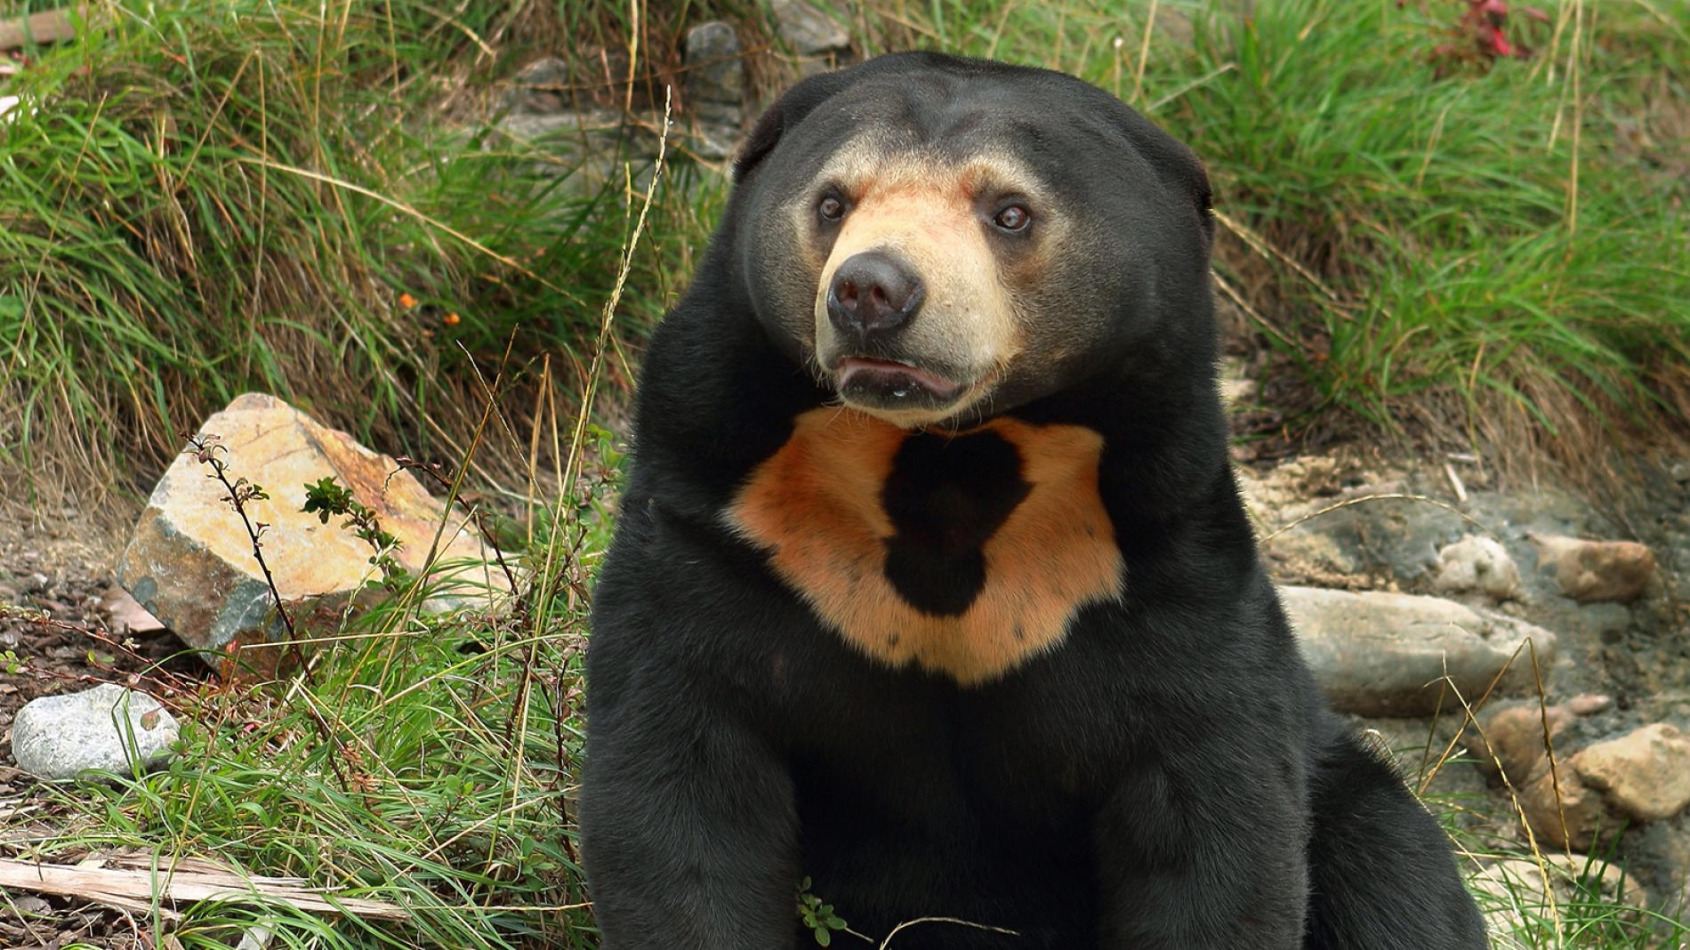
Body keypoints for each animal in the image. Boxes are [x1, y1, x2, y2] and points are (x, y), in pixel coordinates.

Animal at [580, 51, 1488, 949]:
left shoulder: (1160, 555)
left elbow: (1210, 813)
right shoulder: (728, 523)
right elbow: (683, 776)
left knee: (1393, 875)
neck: (945, 462)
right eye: (833, 201)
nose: (871, 291)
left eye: (1009, 212)